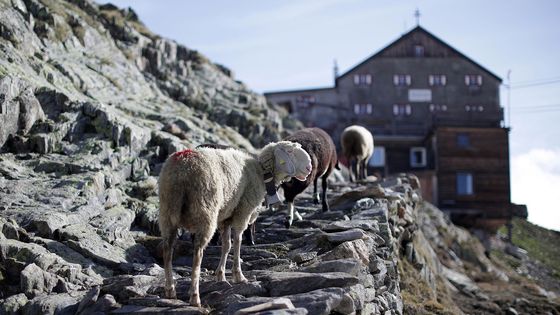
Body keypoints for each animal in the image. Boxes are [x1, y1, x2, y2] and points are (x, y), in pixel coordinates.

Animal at [159, 142, 310, 308]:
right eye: (290, 151)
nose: (309, 167)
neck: (261, 173)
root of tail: (182, 169)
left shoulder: (225, 218)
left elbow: (227, 245)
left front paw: (220, 275)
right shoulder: (242, 211)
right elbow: (237, 242)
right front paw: (238, 275)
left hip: (167, 212)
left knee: (167, 250)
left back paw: (170, 290)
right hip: (205, 210)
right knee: (198, 253)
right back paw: (194, 296)